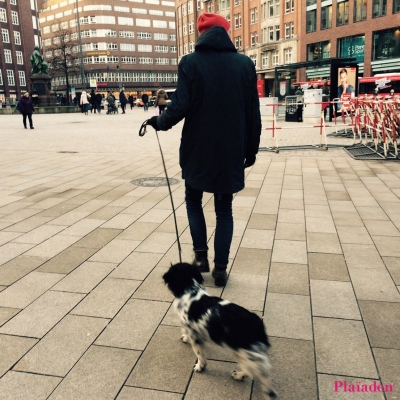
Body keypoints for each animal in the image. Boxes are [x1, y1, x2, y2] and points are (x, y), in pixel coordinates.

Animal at [162, 264, 276, 398]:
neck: (191, 291)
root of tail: (259, 326)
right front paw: (185, 338)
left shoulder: (194, 334)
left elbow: (199, 354)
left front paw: (200, 367)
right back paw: (239, 375)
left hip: (245, 354)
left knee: (261, 378)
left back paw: (241, 377)